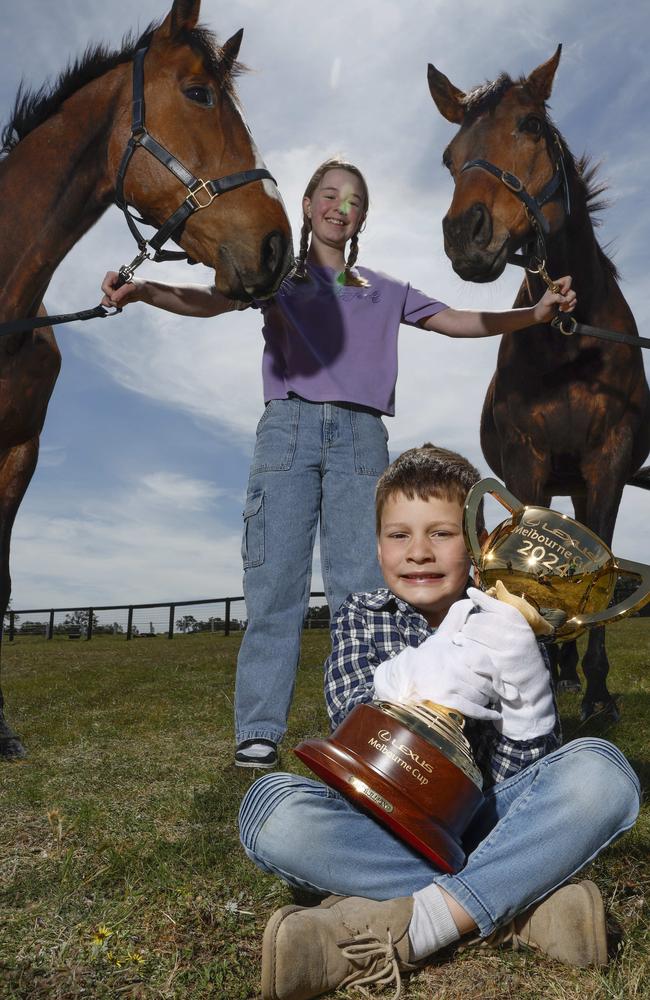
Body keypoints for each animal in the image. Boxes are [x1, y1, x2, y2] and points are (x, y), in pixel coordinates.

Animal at [428, 47, 644, 724]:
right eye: (450, 156)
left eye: (527, 125)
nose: (464, 233)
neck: (573, 341)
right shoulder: (529, 461)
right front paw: (546, 671)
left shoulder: (609, 459)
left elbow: (602, 557)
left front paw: (598, 693)